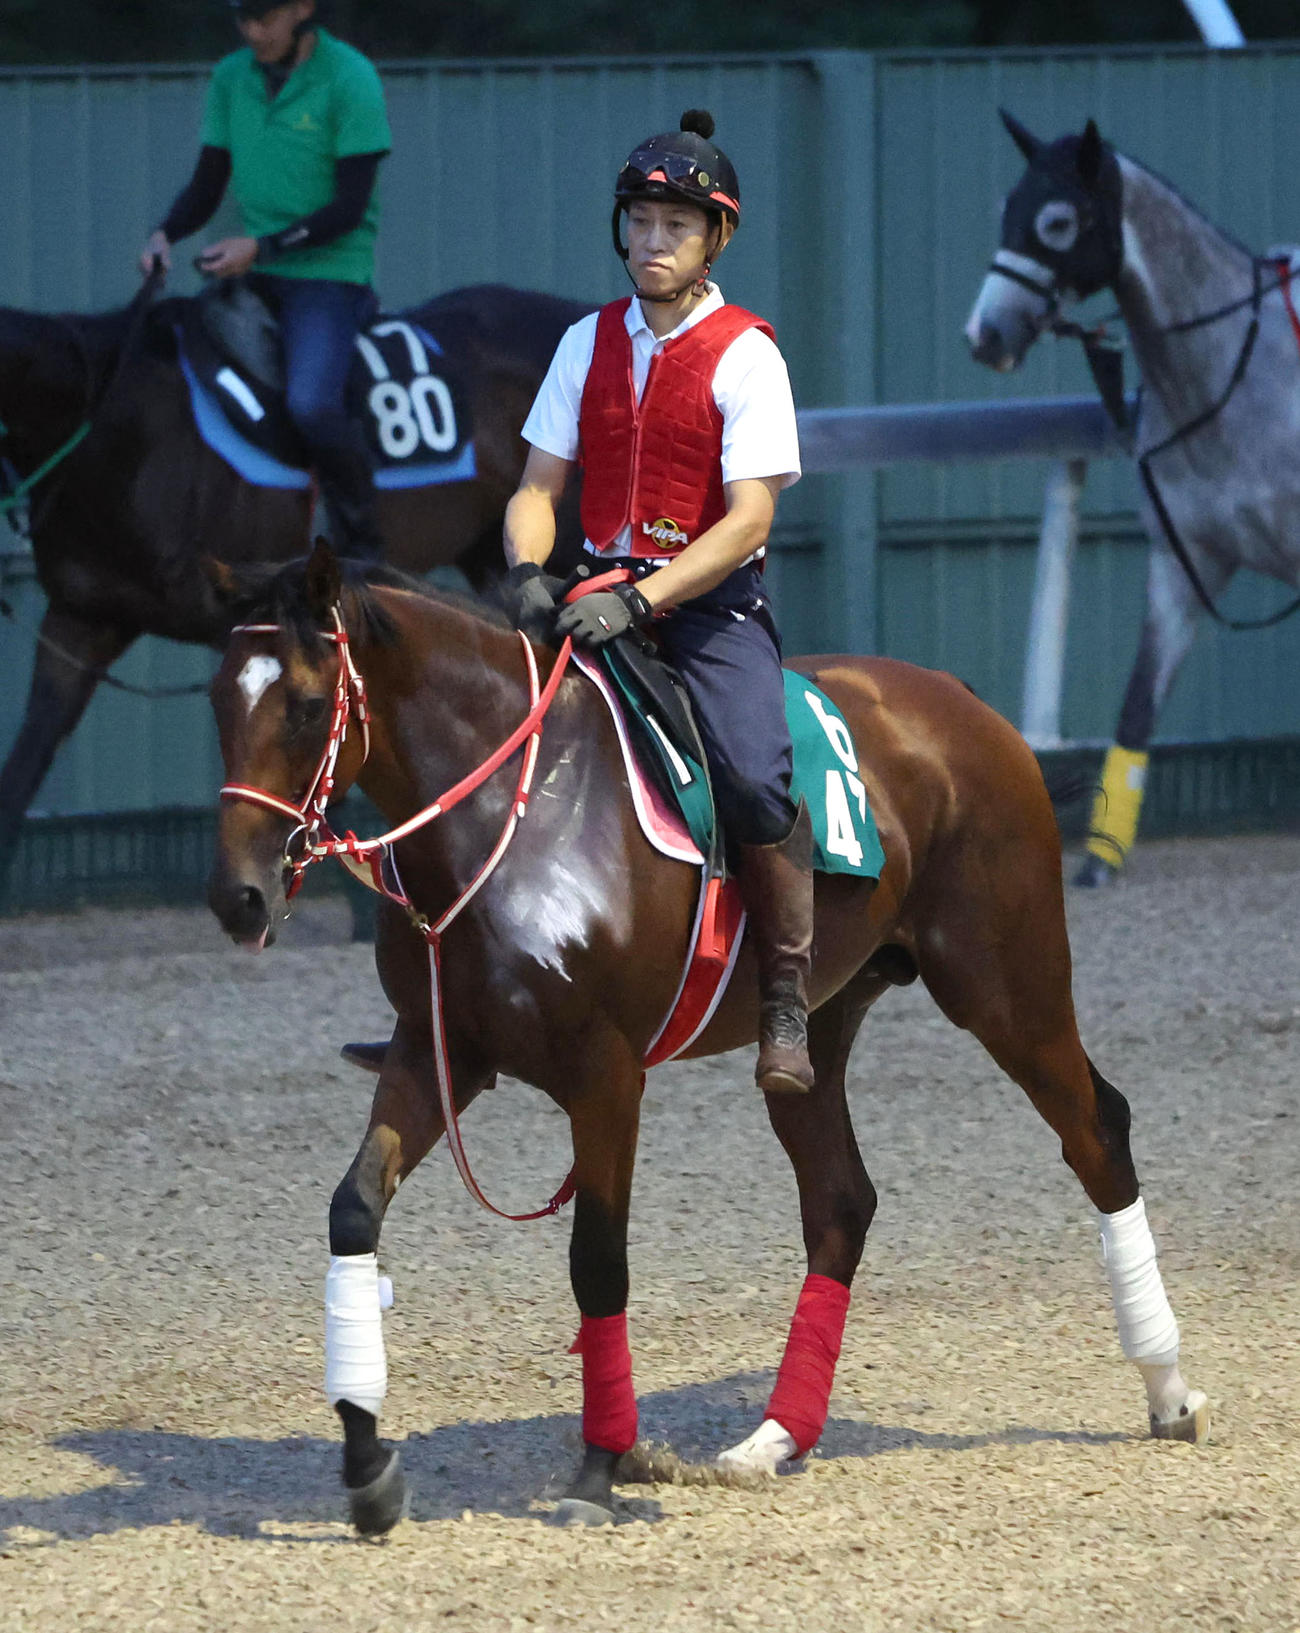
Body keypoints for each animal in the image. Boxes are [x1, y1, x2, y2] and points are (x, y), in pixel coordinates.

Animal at [205, 541, 1209, 1533]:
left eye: (306, 705)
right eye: (217, 698)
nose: (239, 896)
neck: (517, 813)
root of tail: (960, 702)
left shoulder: (605, 1074)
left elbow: (597, 1261)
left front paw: (599, 1466)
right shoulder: (433, 1049)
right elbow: (354, 1210)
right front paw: (367, 1463)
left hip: (1008, 988)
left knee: (1096, 1131)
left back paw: (1168, 1390)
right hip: (816, 1034)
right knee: (840, 1201)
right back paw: (772, 1438)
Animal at [965, 112, 1300, 887]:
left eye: (1058, 221)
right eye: (1006, 210)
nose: (985, 335)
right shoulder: (1185, 567)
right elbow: (1137, 708)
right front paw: (1099, 859)